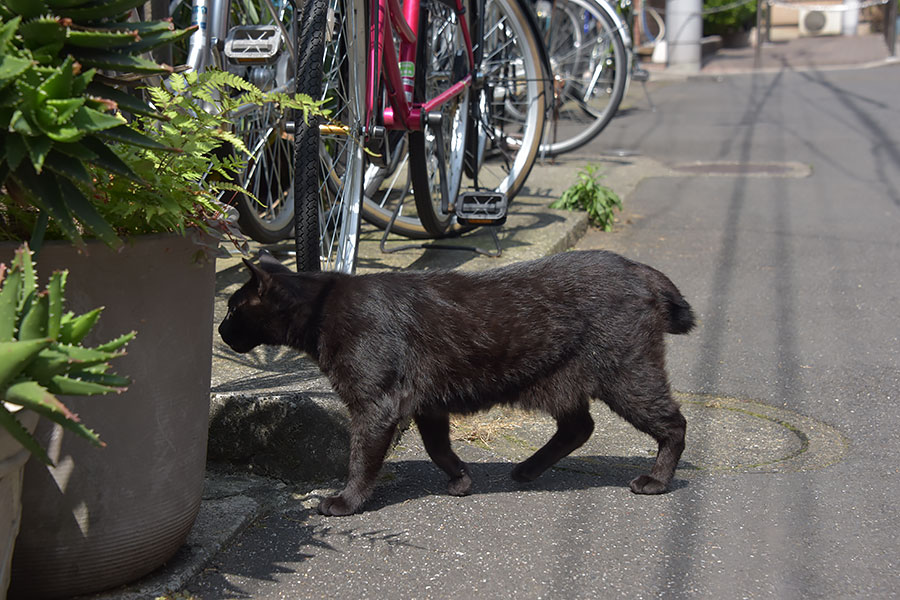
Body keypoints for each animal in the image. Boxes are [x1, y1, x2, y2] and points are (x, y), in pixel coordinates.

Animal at [220, 251, 696, 516]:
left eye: (233, 308)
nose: (221, 330)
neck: (323, 307)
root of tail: (641, 270)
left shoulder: (378, 404)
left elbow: (360, 460)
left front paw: (347, 503)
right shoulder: (426, 404)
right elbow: (438, 448)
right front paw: (462, 480)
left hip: (628, 375)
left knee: (674, 425)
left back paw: (656, 481)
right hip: (562, 380)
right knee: (580, 427)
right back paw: (527, 469)